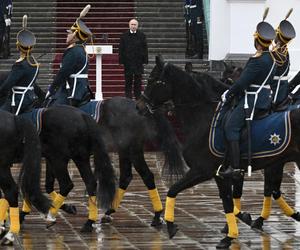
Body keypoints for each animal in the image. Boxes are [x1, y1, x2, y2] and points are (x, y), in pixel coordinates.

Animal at [137, 55, 300, 249]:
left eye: (153, 80)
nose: (139, 106)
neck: (202, 117)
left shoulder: (203, 170)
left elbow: (174, 190)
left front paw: (170, 224)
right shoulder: (220, 174)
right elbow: (227, 200)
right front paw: (232, 232)